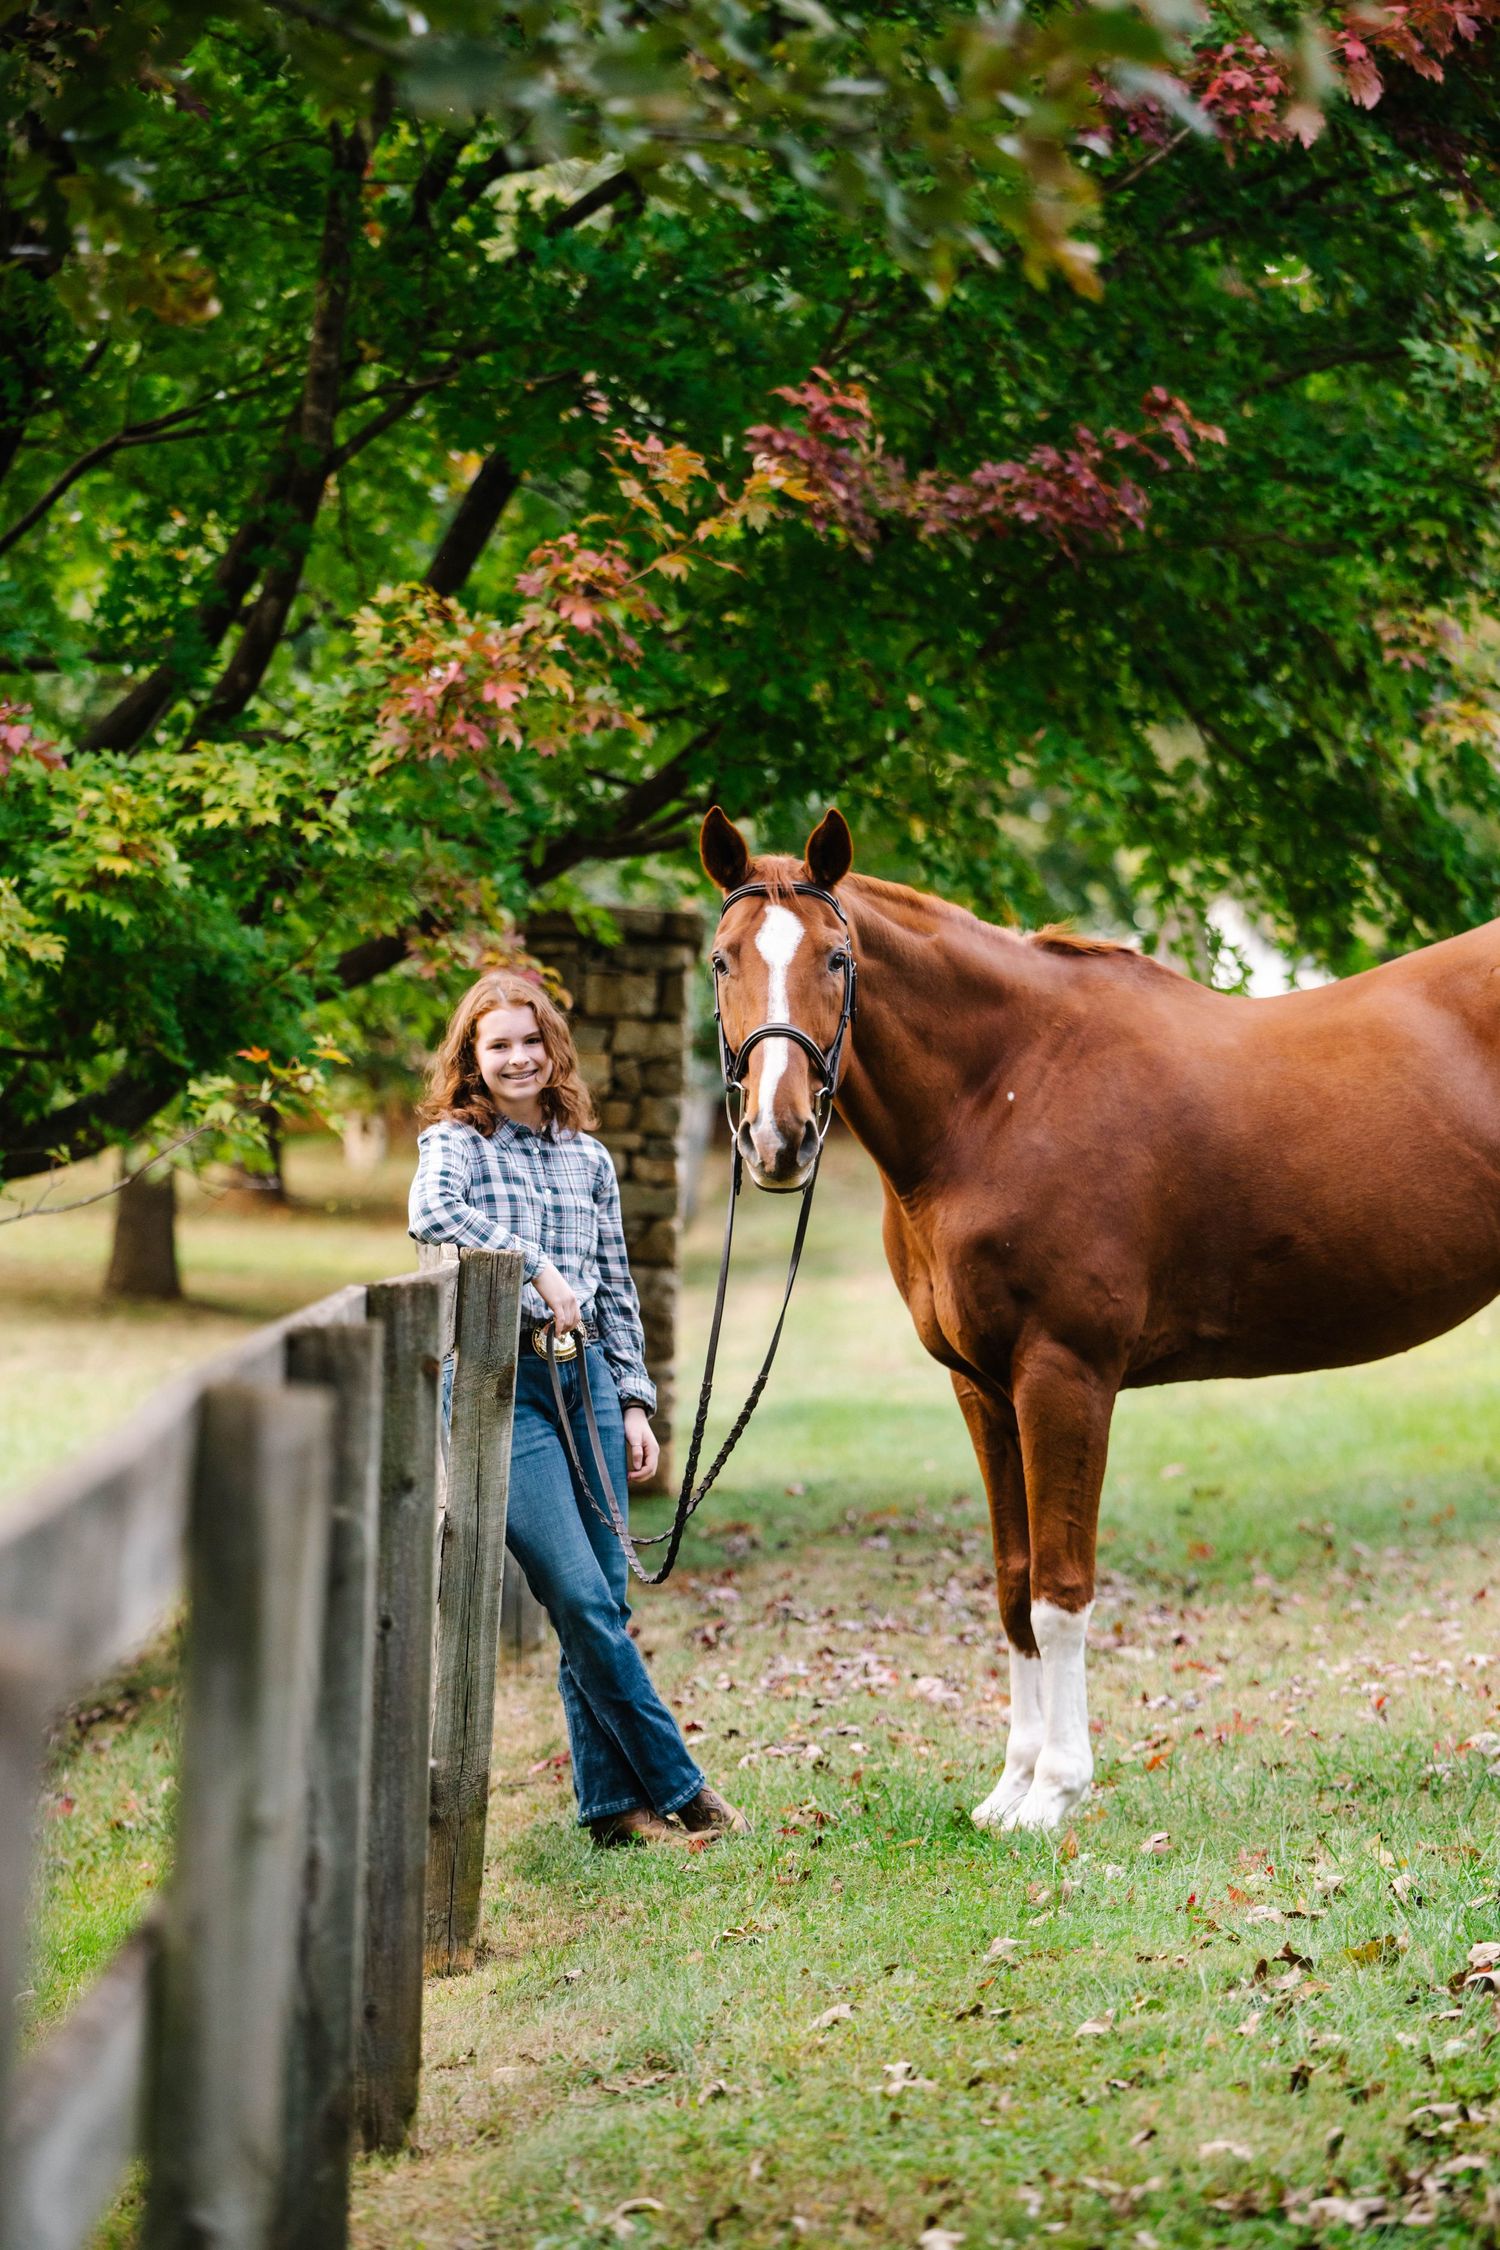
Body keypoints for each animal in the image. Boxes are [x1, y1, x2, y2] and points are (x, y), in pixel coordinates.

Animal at [699, 804, 1500, 1834]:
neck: (1002, 1092)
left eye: (838, 958)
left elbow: (1060, 1591)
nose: (779, 1138)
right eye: (722, 959)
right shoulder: (982, 1388)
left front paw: (1057, 1793)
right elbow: (1012, 1586)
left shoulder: (1064, 1374)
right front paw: (1010, 1787)